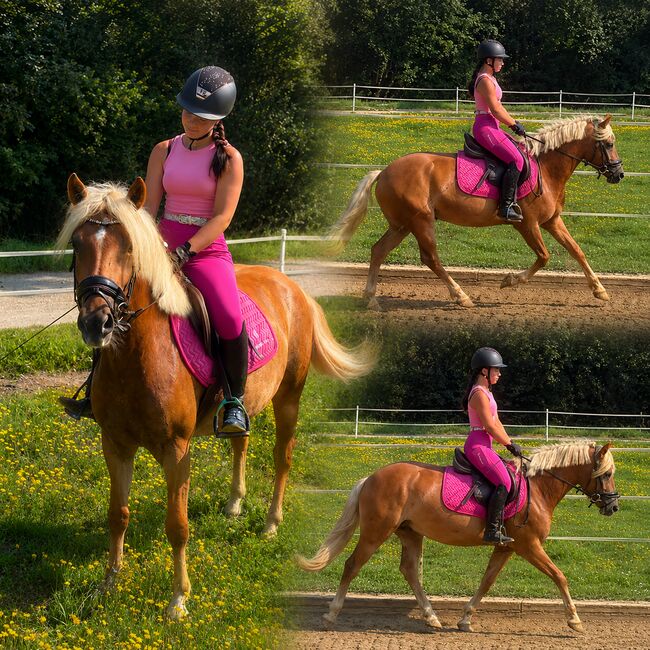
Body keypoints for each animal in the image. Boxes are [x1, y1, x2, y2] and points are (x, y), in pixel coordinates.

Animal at [56, 174, 374, 619]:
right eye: (78, 243)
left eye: (129, 247)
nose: (96, 322)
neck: (140, 355)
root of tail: (293, 287)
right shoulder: (114, 442)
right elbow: (117, 514)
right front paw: (109, 585)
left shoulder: (176, 449)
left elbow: (177, 525)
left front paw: (178, 600)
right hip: (245, 401)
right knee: (241, 439)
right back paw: (234, 505)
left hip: (289, 398)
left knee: (282, 457)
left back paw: (270, 524)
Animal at [297, 442, 619, 633]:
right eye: (606, 474)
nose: (613, 506)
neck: (537, 487)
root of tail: (371, 477)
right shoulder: (529, 546)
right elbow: (559, 576)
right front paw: (574, 620)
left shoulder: (507, 548)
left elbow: (486, 581)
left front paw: (465, 618)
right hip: (376, 532)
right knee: (352, 565)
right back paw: (331, 615)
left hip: (410, 533)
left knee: (410, 571)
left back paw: (432, 617)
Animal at [330, 115, 624, 309]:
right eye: (609, 144)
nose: (619, 174)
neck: (546, 167)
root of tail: (384, 171)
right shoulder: (527, 223)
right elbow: (544, 257)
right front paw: (509, 281)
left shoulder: (552, 221)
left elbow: (577, 251)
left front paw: (600, 290)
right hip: (421, 221)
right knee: (430, 258)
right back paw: (461, 296)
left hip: (402, 225)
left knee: (378, 250)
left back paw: (370, 299)